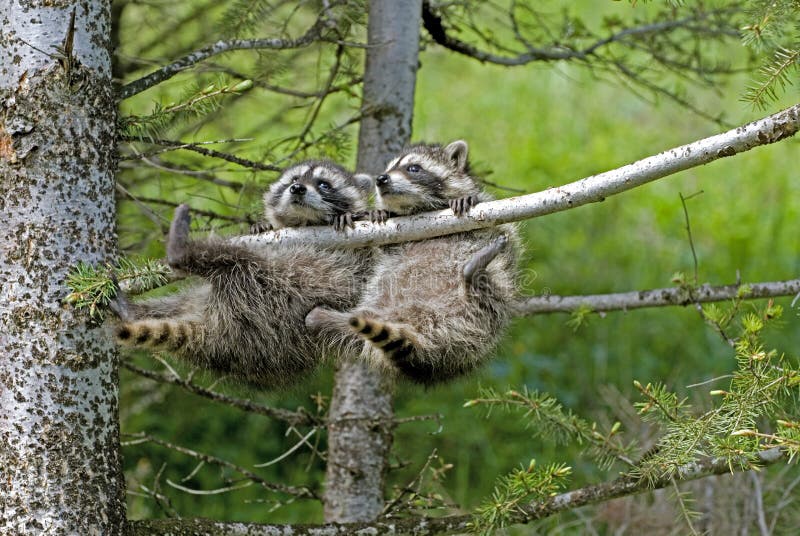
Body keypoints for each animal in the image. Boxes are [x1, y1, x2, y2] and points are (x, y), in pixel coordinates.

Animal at [110, 161, 376, 388]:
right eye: (295, 179)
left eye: (323, 184)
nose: (297, 188)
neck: (306, 223)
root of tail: (215, 336)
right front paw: (261, 224)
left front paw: (356, 215)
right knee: (173, 303)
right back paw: (132, 311)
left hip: (268, 296)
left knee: (235, 258)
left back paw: (180, 252)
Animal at [306, 142, 520, 386]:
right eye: (388, 169)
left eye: (414, 168)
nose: (381, 179)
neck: (420, 209)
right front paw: (379, 210)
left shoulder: (493, 219)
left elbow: (498, 226)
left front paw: (467, 199)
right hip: (376, 314)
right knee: (338, 324)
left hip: (487, 319)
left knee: (490, 296)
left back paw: (474, 273)